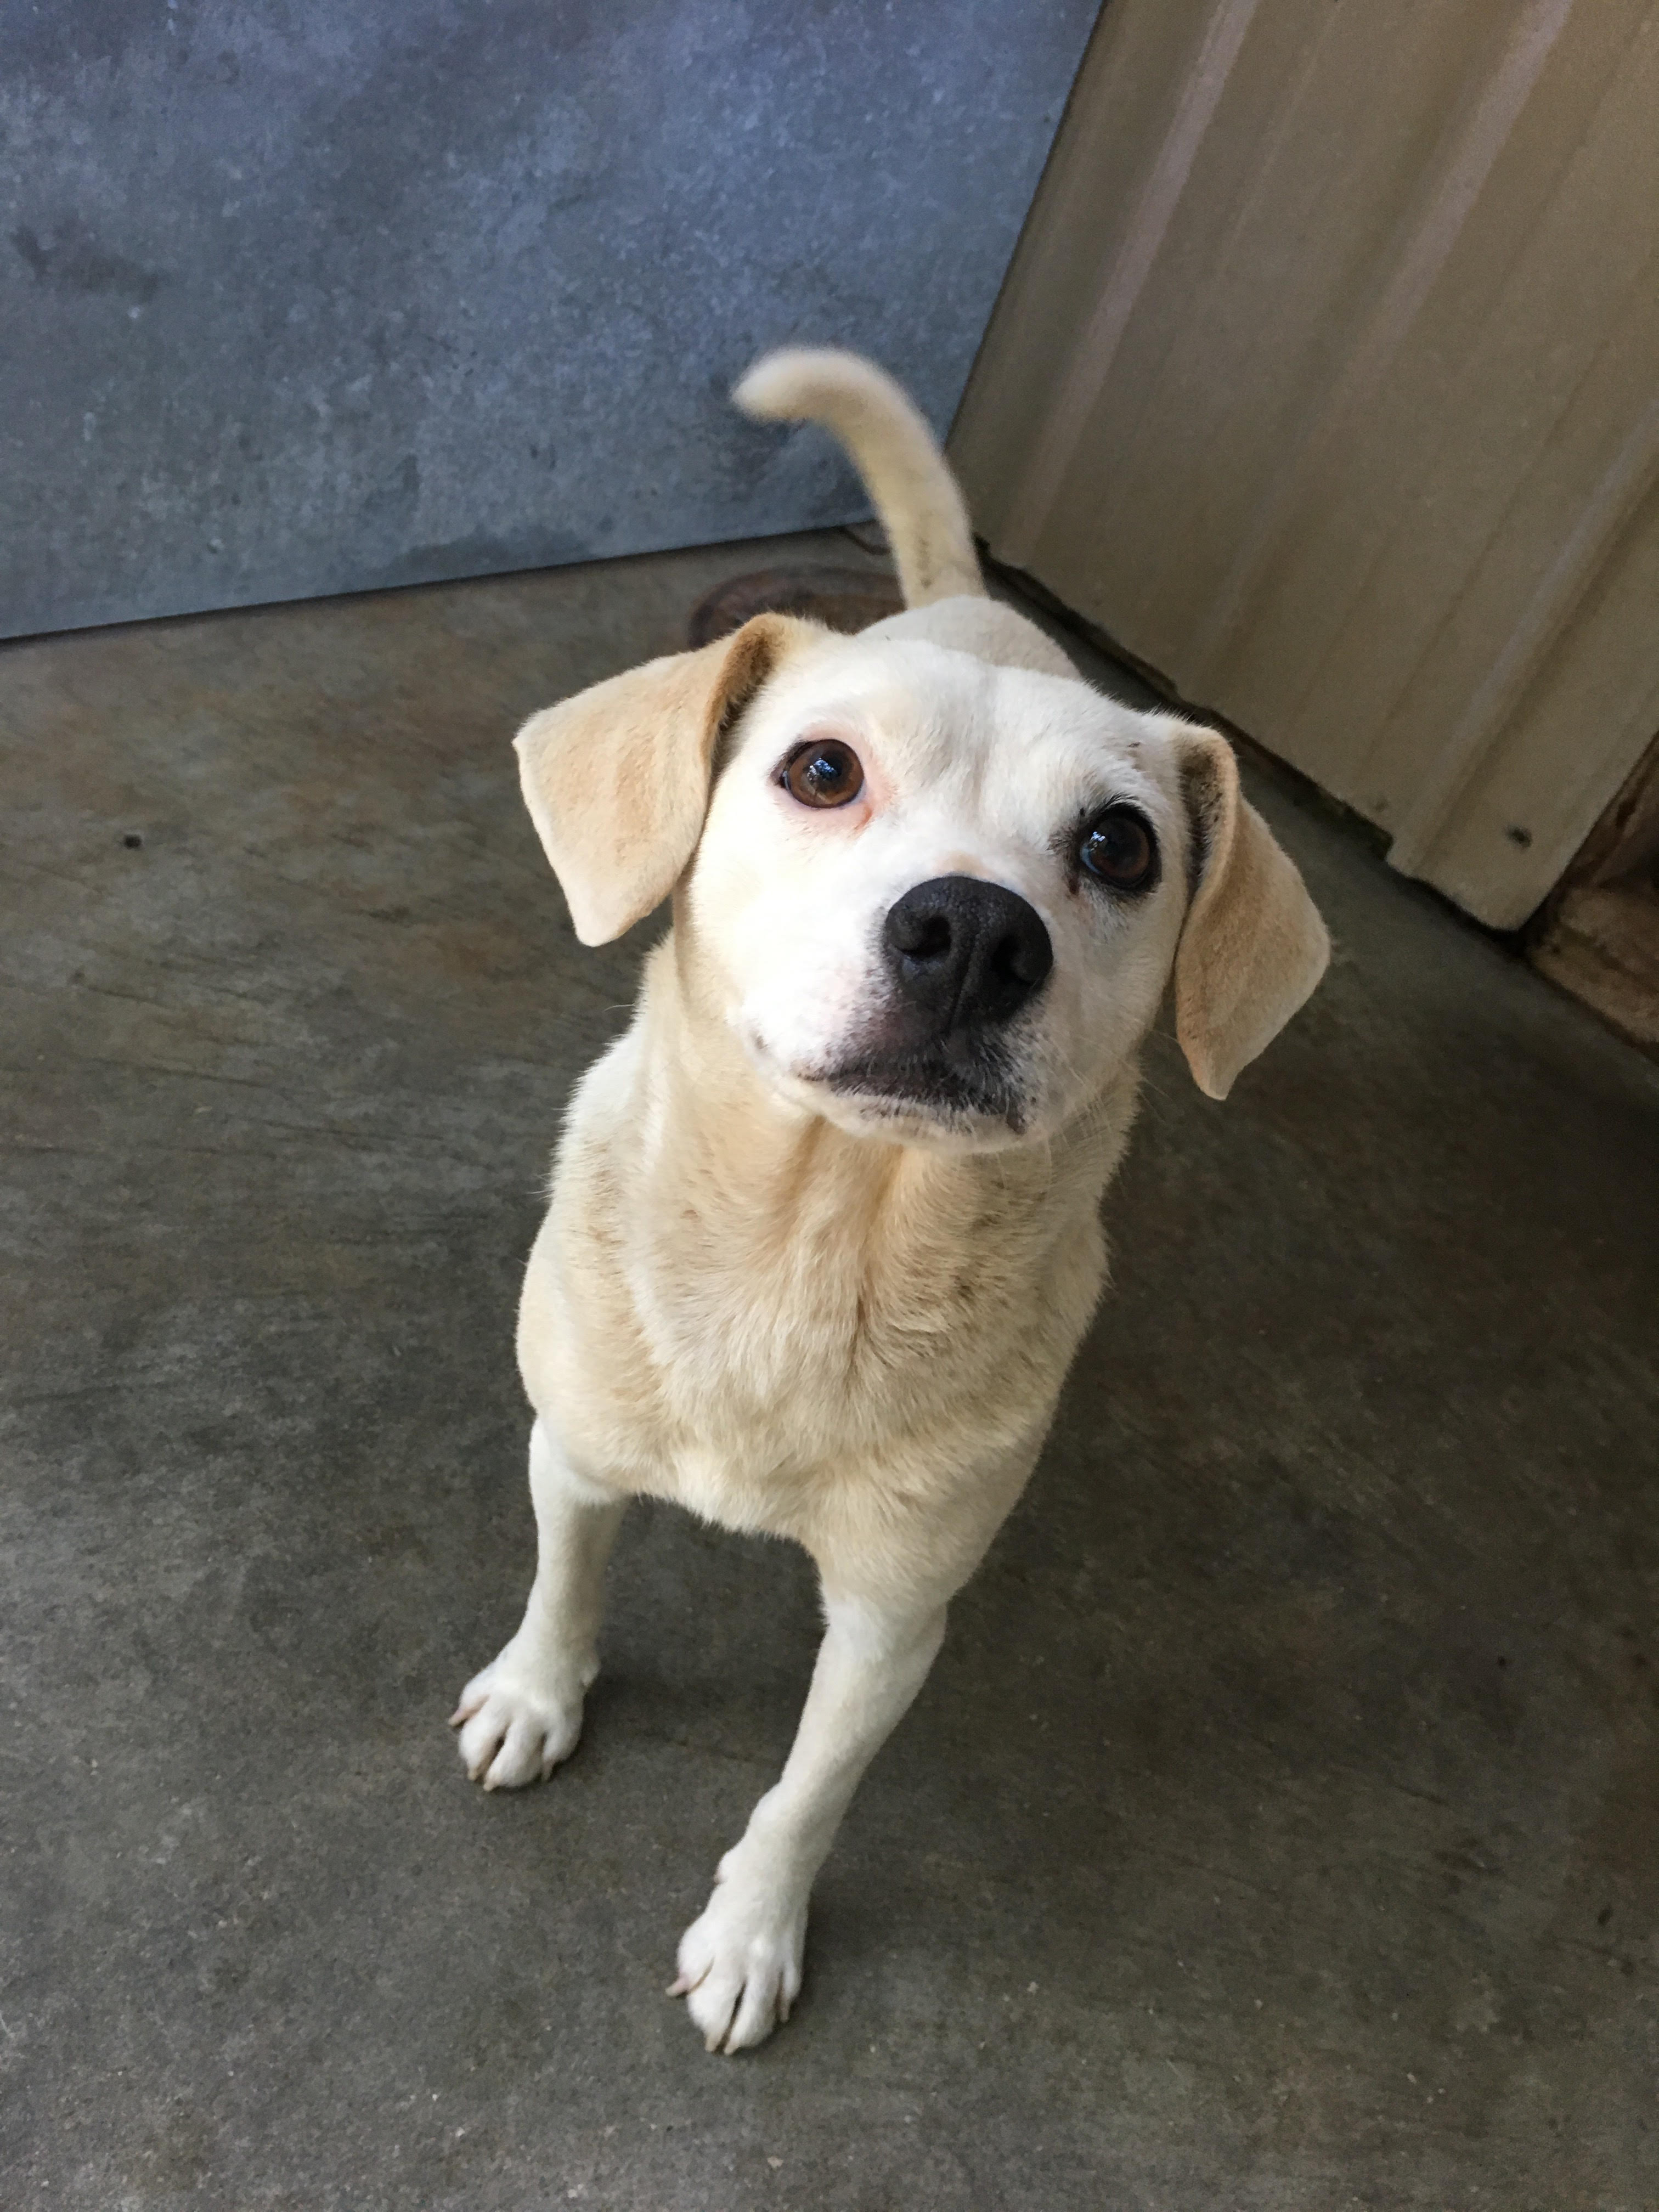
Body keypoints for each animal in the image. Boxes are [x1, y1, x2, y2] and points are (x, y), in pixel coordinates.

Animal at [449, 345, 1336, 2052]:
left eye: (1120, 845)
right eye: (820, 770)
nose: (976, 935)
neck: (815, 1247)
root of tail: (978, 604)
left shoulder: (893, 1620)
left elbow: (806, 1795)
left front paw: (752, 1934)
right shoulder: (571, 1451)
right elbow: (565, 1584)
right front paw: (537, 1694)